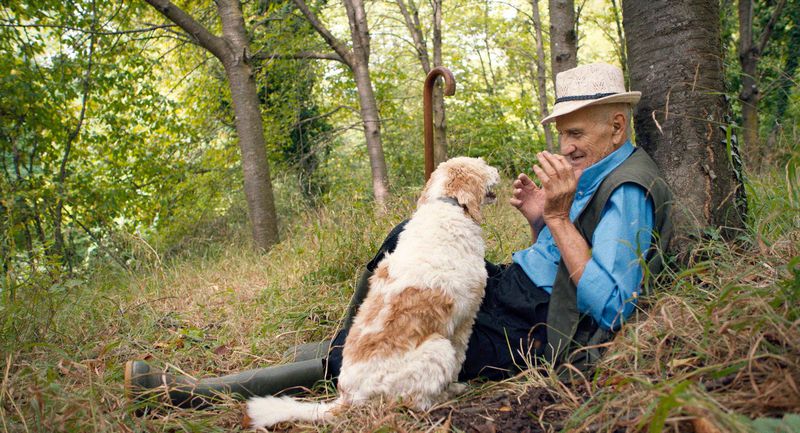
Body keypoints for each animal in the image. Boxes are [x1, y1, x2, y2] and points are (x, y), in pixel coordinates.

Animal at [244, 157, 500, 426]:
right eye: (482, 165)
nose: (498, 170)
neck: (446, 206)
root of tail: (348, 396)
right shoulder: (465, 320)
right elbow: (460, 356)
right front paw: (456, 383)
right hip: (438, 348)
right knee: (415, 401)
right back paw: (449, 394)